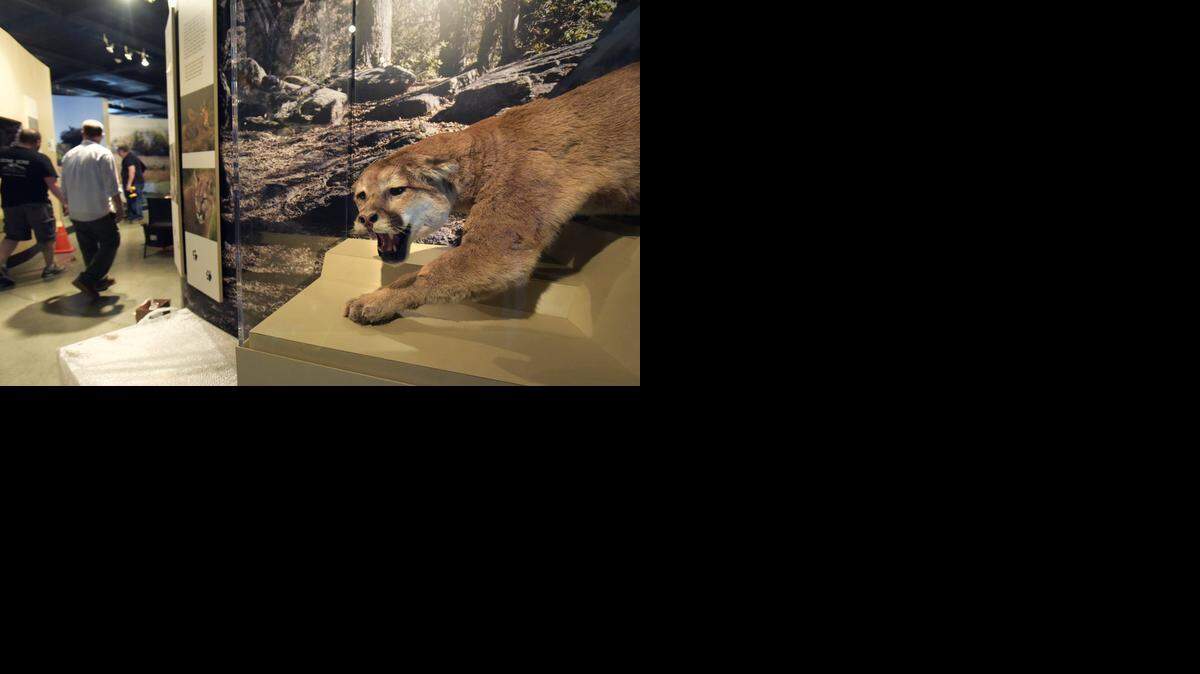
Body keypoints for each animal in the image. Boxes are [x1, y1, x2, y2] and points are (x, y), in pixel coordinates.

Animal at [344, 62, 640, 325]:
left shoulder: (495, 248)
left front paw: (373, 301)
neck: (484, 154)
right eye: (361, 196)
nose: (365, 218)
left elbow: (426, 275)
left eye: (396, 190)